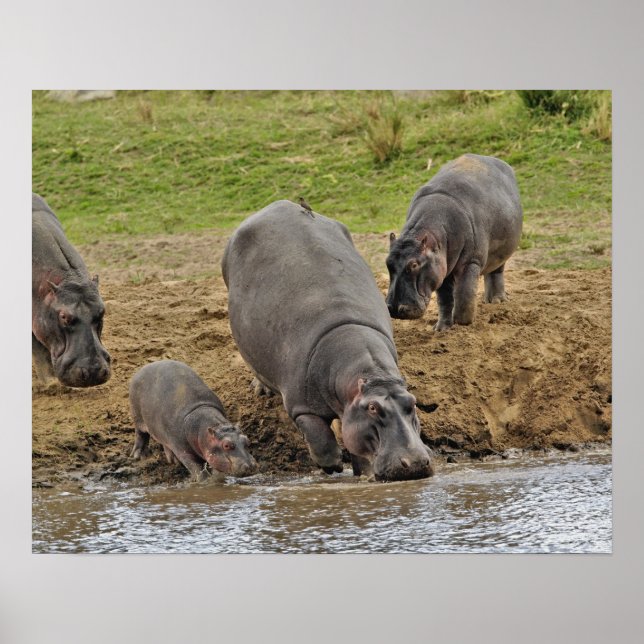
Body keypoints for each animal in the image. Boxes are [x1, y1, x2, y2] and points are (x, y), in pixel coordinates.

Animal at [129, 360, 258, 481]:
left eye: (247, 440)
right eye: (226, 445)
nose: (251, 466)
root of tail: (143, 368)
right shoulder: (183, 451)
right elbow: (197, 469)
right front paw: (205, 481)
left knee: (165, 443)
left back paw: (173, 460)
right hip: (138, 416)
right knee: (141, 434)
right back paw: (139, 455)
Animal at [222, 200, 433, 481]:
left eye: (413, 402)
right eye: (373, 408)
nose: (417, 463)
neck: (370, 374)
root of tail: (276, 204)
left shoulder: (351, 412)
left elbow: (355, 444)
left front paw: (362, 474)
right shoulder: (301, 406)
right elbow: (322, 441)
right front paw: (331, 468)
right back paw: (261, 389)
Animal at [386, 154, 523, 330]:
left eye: (414, 265)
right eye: (387, 262)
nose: (394, 309)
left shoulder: (471, 261)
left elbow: (464, 293)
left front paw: (462, 324)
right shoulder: (440, 269)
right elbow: (444, 300)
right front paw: (441, 329)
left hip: (502, 252)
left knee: (496, 272)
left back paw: (498, 301)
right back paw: (488, 301)